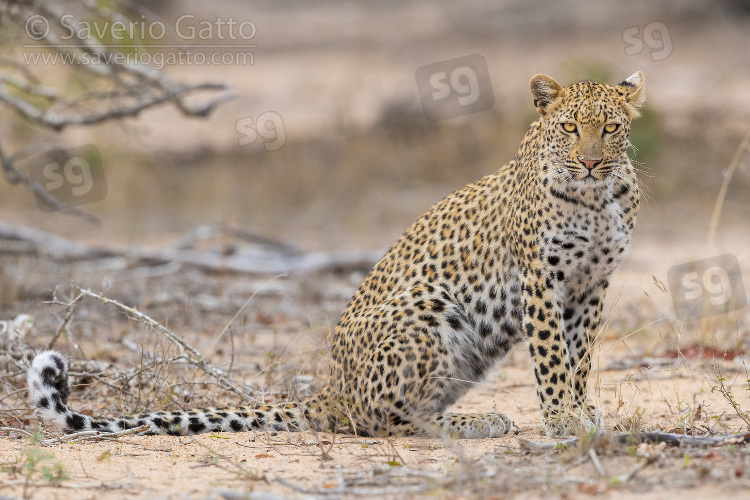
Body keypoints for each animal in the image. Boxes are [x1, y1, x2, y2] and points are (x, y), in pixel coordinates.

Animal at [26, 70, 644, 438]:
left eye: (611, 128)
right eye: (570, 128)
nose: (592, 162)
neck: (596, 199)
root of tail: (331, 389)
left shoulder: (592, 285)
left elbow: (581, 355)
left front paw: (582, 412)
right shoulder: (539, 280)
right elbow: (552, 357)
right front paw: (563, 420)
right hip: (428, 307)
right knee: (387, 421)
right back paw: (477, 423)